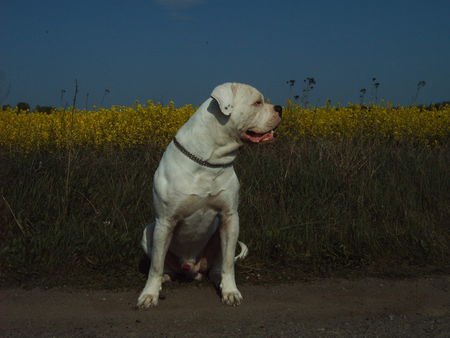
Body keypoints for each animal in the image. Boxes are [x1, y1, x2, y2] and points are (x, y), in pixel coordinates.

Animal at [137, 83, 282, 308]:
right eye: (257, 102)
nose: (280, 108)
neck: (209, 160)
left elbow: (229, 263)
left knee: (219, 264)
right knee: (161, 264)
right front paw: (149, 294)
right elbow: (156, 265)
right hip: (149, 230)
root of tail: (191, 269)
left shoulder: (230, 217)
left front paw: (230, 291)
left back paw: (217, 278)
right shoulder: (165, 220)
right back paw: (164, 279)